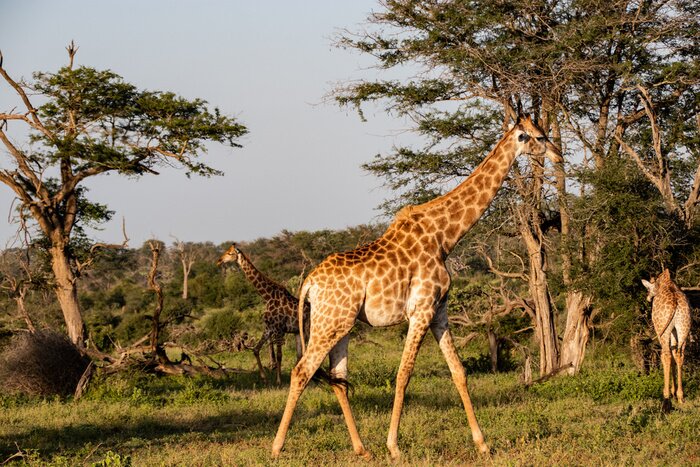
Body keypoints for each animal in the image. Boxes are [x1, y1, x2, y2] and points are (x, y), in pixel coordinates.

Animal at [217, 244, 309, 385]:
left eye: (230, 253)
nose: (219, 261)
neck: (267, 296)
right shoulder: (269, 328)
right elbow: (256, 349)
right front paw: (264, 377)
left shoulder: (279, 329)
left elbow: (279, 355)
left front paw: (278, 380)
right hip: (298, 332)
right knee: (302, 354)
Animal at [271, 115, 562, 460]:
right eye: (539, 137)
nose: (559, 156)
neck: (444, 237)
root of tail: (309, 282)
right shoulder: (420, 310)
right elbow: (404, 373)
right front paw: (394, 446)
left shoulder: (439, 312)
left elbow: (459, 372)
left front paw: (482, 444)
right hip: (329, 323)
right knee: (301, 371)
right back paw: (276, 448)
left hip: (340, 325)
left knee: (338, 379)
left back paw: (362, 450)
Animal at [642, 269, 691, 411]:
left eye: (648, 288)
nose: (648, 298)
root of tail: (675, 302)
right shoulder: (674, 331)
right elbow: (675, 354)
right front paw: (675, 393)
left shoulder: (660, 330)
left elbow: (668, 355)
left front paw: (670, 393)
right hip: (683, 328)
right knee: (679, 354)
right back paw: (680, 396)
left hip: (662, 330)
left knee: (666, 355)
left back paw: (666, 396)